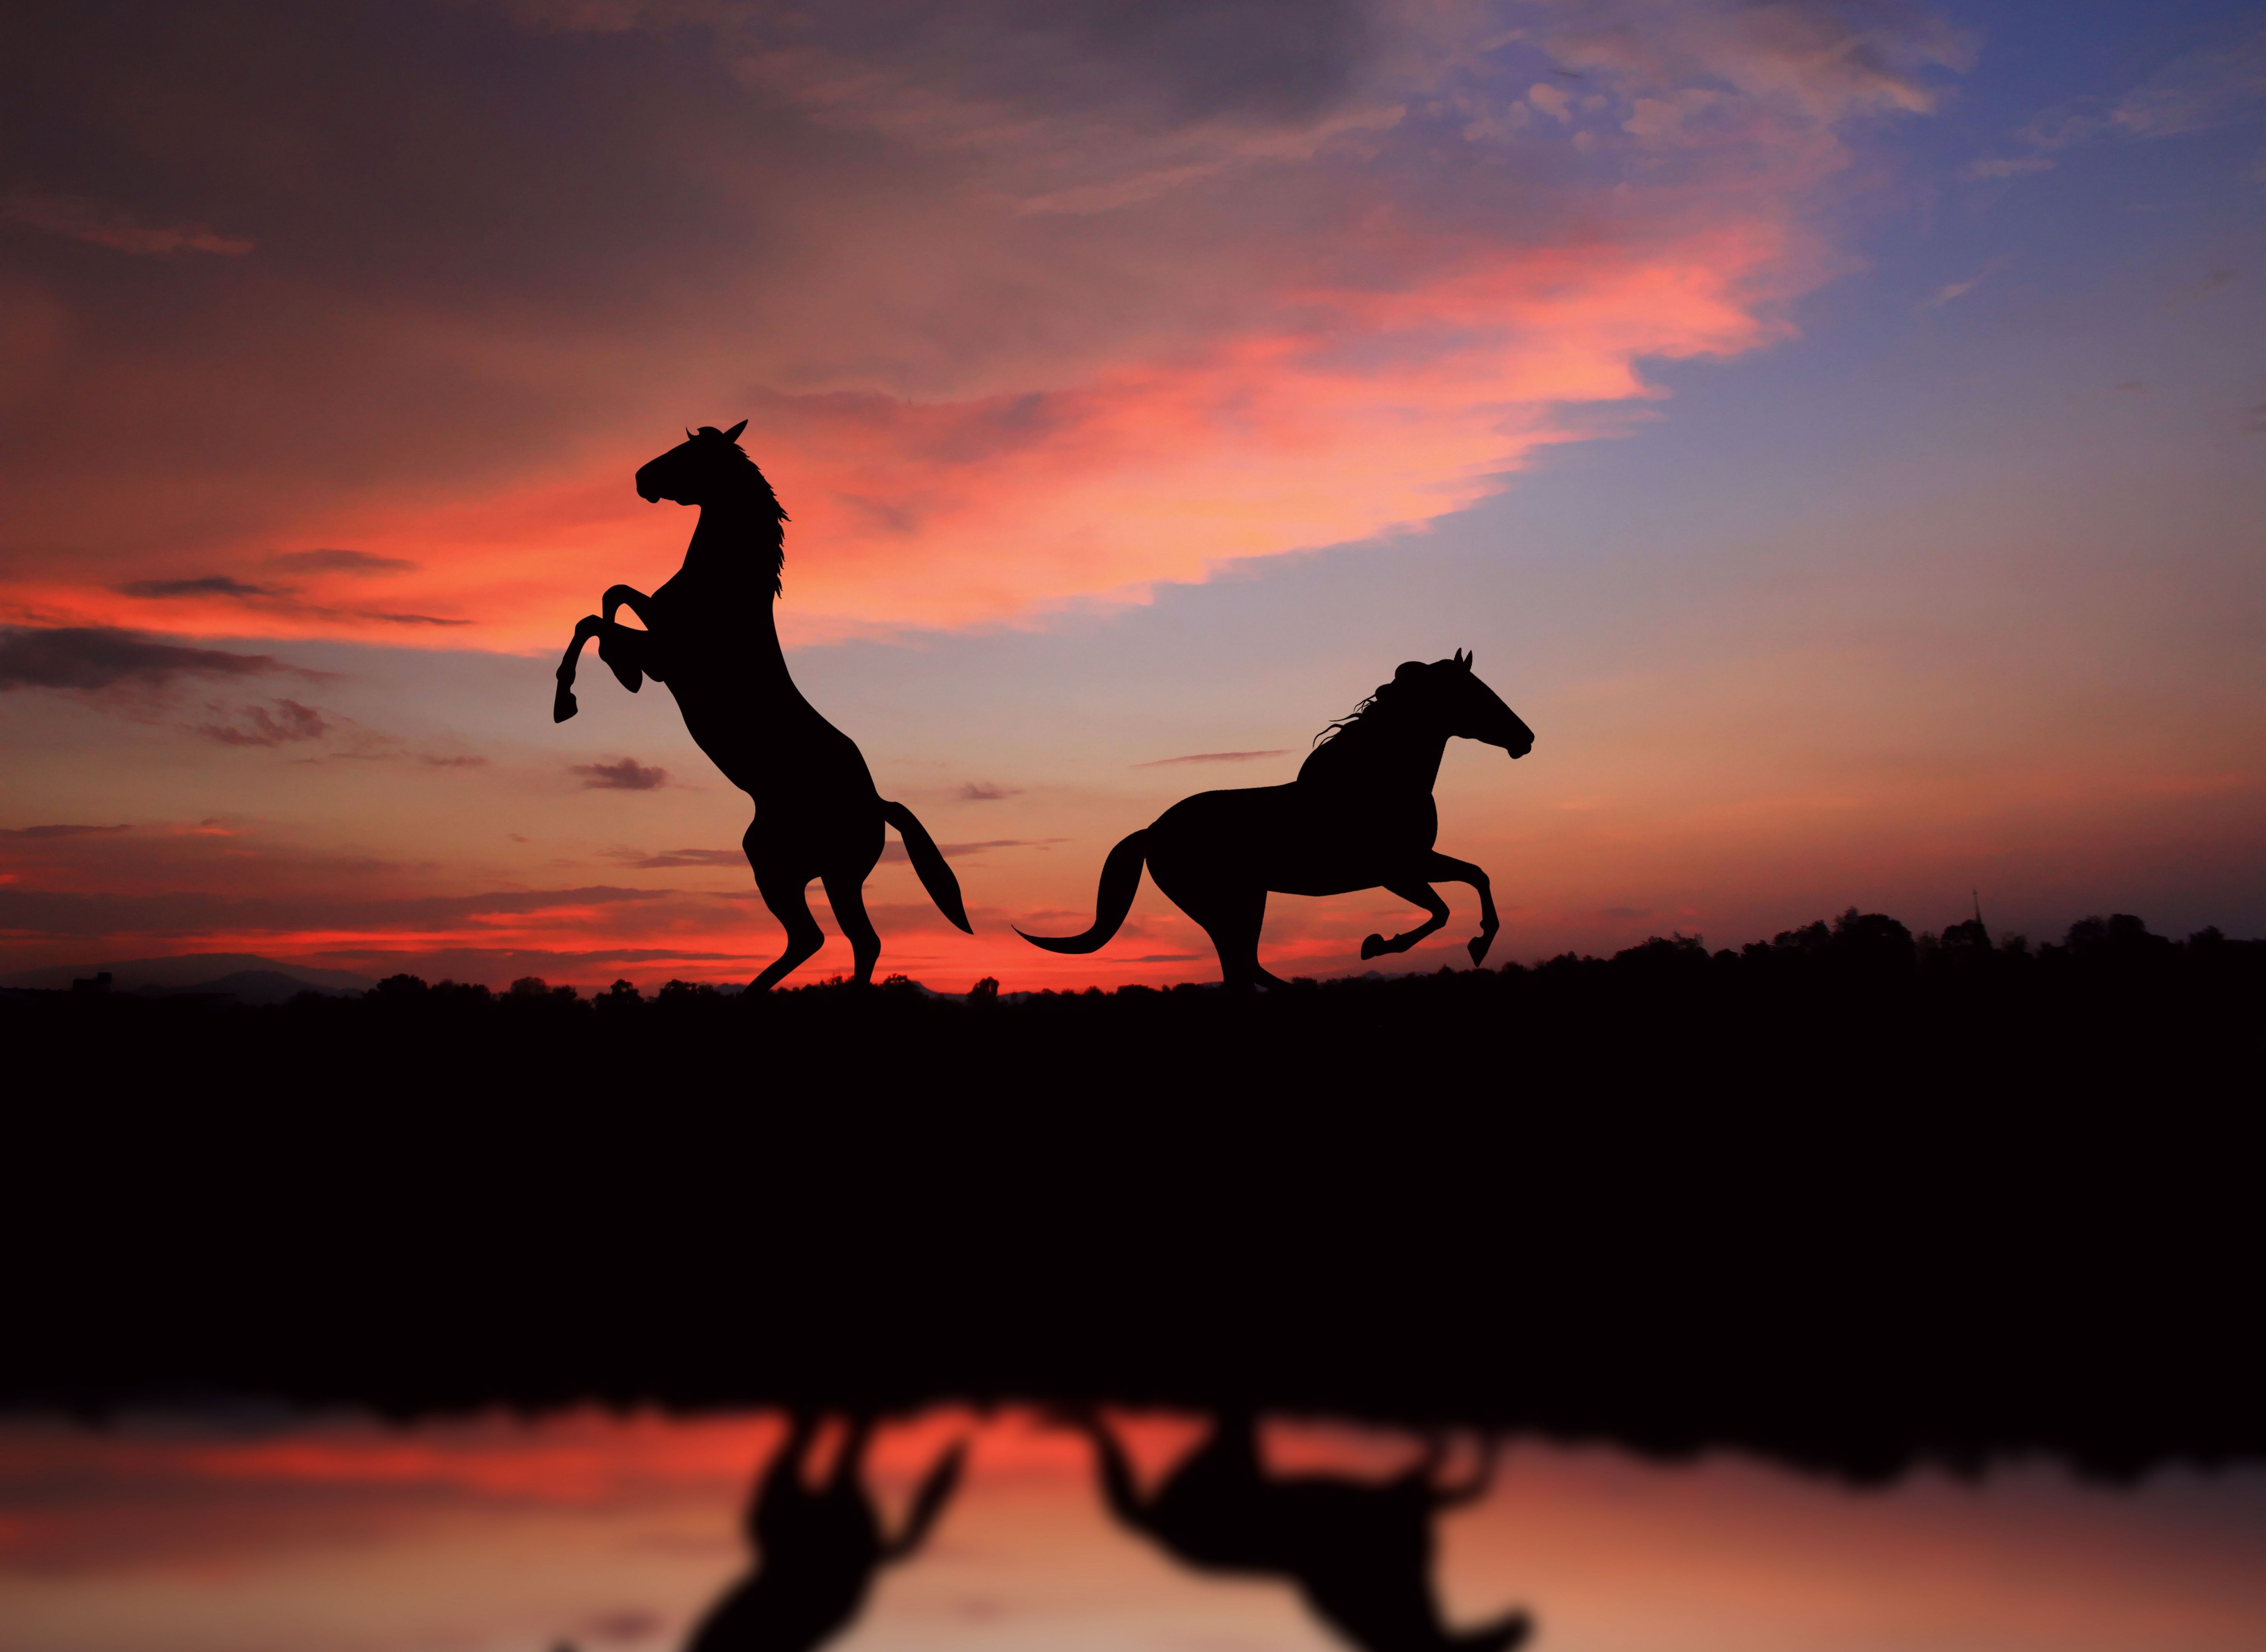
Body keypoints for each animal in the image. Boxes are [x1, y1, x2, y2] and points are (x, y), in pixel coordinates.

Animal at [554, 421, 971, 992]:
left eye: (690, 453)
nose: (641, 479)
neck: (724, 588)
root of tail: (877, 803)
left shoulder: (668, 654)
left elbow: (598, 619)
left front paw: (576, 696)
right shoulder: (660, 630)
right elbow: (612, 598)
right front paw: (615, 675)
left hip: (803, 869)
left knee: (837, 939)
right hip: (799, 867)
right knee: (833, 939)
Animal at [1018, 653, 1533, 988]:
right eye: (1475, 694)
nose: (1525, 738)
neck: (1377, 779)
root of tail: (1153, 832)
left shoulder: (1416, 861)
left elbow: (1476, 876)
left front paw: (1478, 943)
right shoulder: (1394, 870)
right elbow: (1442, 910)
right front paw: (1375, 945)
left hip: (1245, 901)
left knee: (1242, 970)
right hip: (1226, 904)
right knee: (1242, 968)